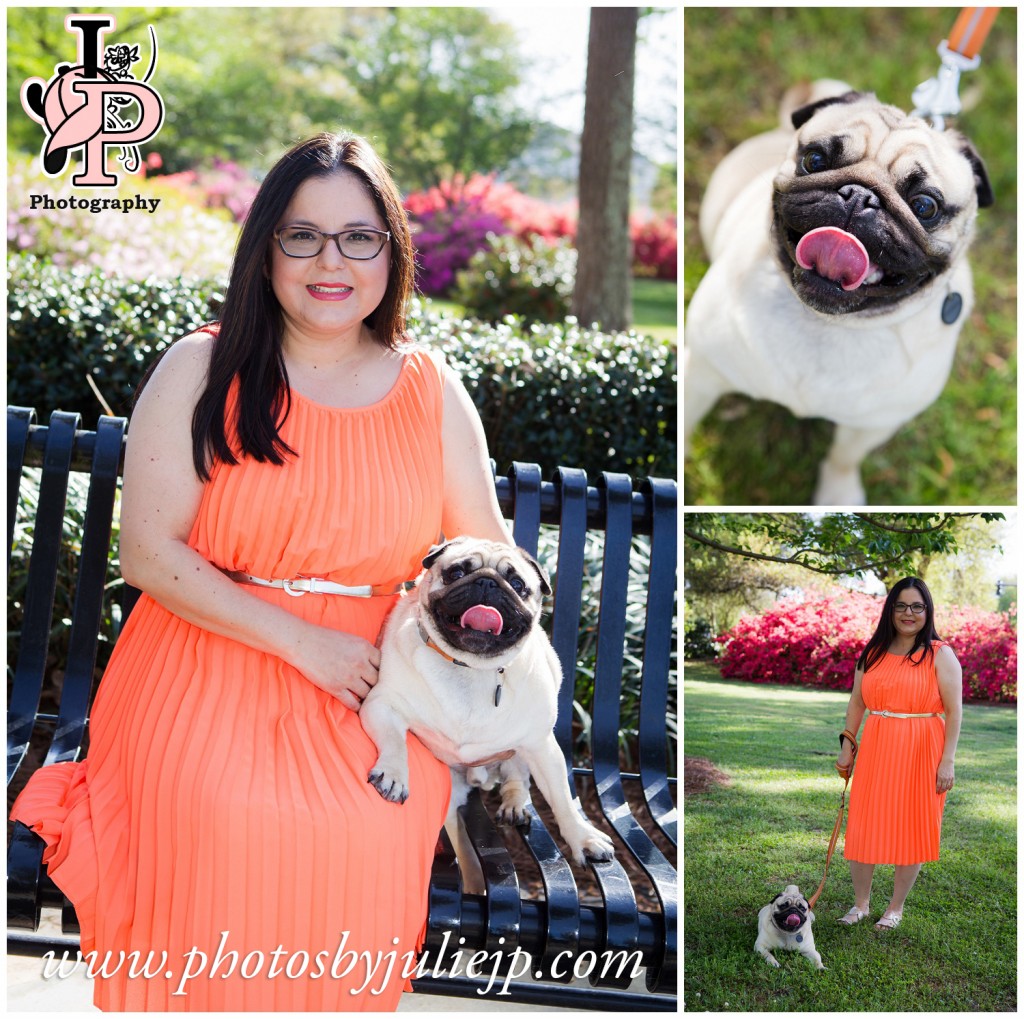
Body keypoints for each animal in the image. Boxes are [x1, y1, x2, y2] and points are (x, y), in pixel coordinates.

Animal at [362, 536, 614, 888]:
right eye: (455, 572)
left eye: (518, 585)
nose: (486, 583)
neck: (471, 668)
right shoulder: (381, 704)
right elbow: (395, 742)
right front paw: (394, 774)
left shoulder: (541, 745)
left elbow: (562, 800)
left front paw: (583, 838)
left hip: (521, 755)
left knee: (518, 779)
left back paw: (513, 804)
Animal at [688, 81, 991, 503]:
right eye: (814, 160)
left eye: (925, 206)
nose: (860, 196)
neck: (825, 322)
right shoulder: (701, 371)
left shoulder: (874, 423)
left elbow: (844, 458)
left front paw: (837, 494)